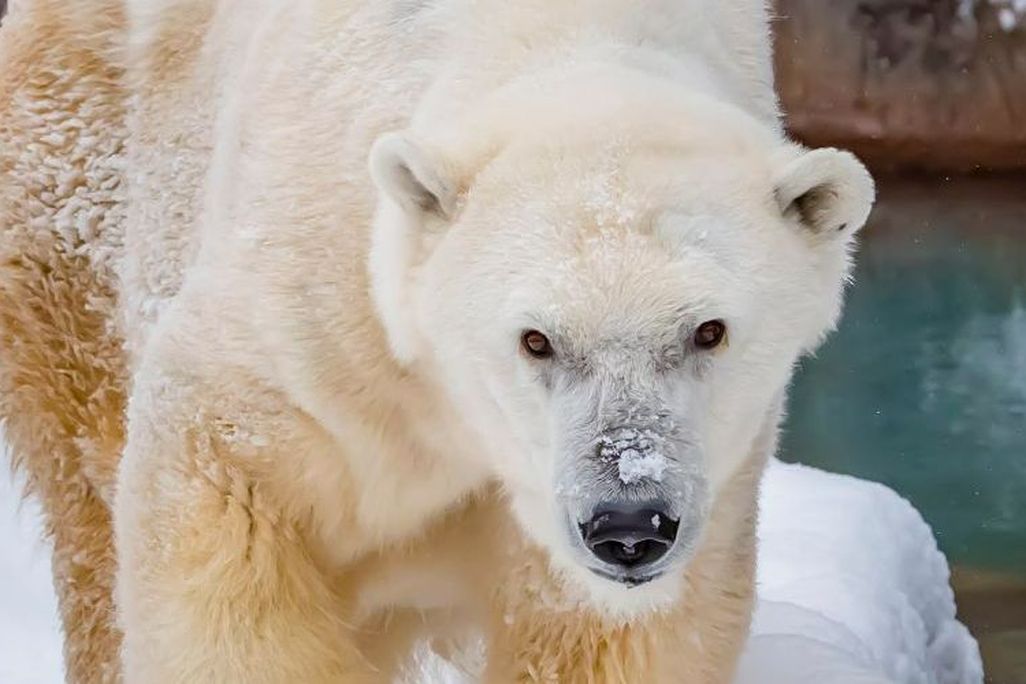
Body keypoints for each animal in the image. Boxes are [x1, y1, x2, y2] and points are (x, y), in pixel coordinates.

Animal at [0, 0, 875, 682]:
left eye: (708, 331)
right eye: (535, 340)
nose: (629, 524)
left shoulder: (707, 483)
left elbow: (602, 632)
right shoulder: (321, 315)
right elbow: (227, 509)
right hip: (78, 177)